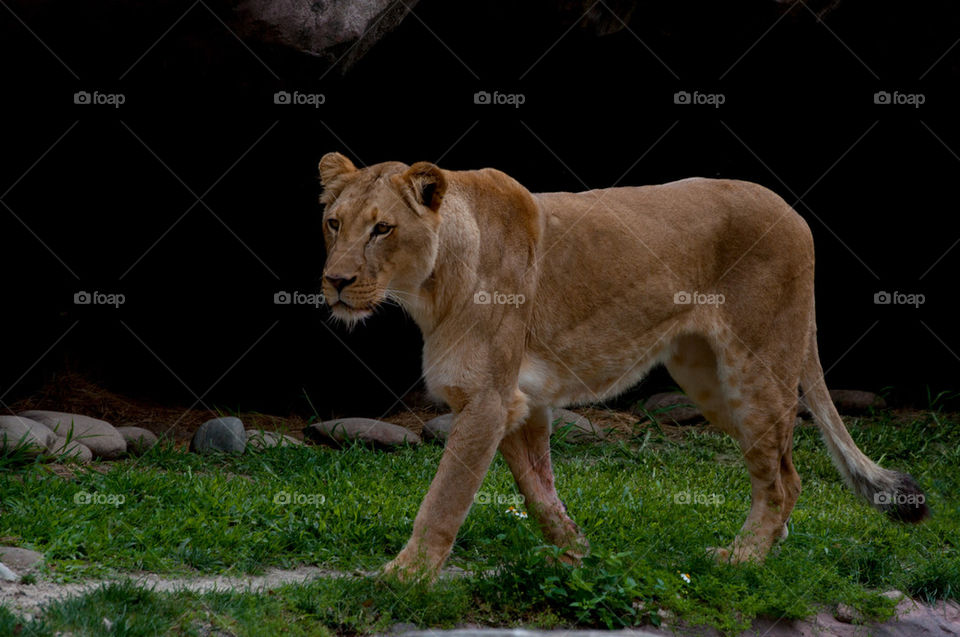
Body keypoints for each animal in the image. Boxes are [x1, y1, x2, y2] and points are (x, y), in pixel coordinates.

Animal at [317, 152, 929, 580]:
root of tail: (794, 213)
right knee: (784, 469)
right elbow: (537, 488)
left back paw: (742, 558)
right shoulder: (522, 403)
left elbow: (445, 497)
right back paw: (767, 545)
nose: (336, 281)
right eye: (333, 223)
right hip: (711, 383)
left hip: (757, 370)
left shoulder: (488, 401)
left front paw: (404, 577)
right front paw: (576, 552)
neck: (428, 289)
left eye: (382, 228)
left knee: (781, 477)